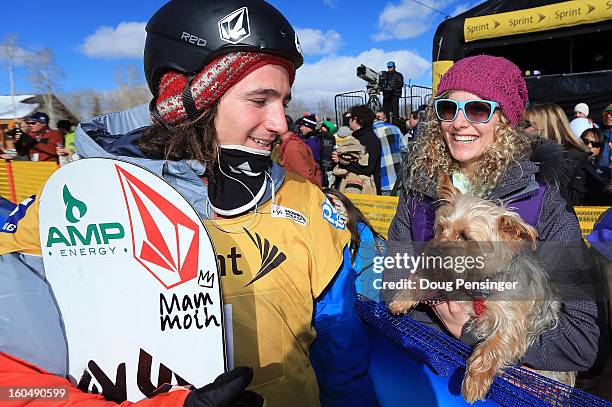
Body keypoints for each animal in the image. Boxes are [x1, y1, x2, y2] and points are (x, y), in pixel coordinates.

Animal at [388, 175, 572, 404]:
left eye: (465, 236)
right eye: (440, 227)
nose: (433, 252)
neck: (480, 282)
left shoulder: (512, 321)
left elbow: (491, 347)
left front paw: (474, 382)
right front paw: (403, 297)